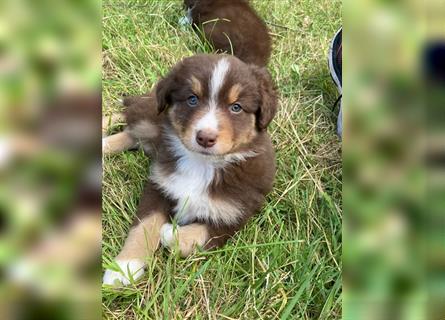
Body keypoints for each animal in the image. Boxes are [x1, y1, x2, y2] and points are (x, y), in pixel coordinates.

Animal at [103, 53, 276, 286]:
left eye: (236, 107)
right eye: (192, 99)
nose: (205, 138)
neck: (202, 164)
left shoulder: (235, 213)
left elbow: (200, 233)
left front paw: (170, 233)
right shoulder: (159, 185)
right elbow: (144, 226)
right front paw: (123, 267)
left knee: (132, 133)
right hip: (153, 117)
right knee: (128, 113)